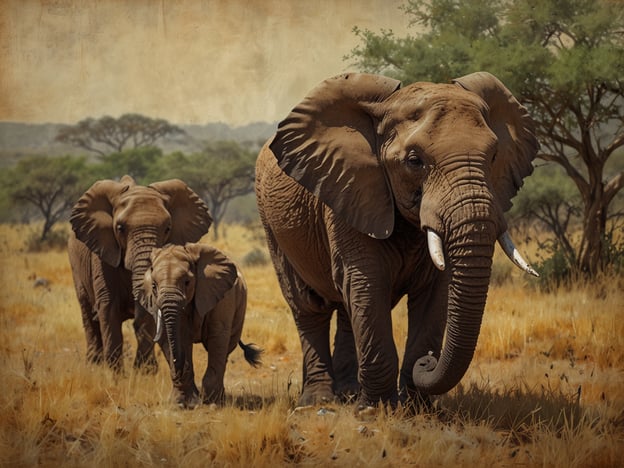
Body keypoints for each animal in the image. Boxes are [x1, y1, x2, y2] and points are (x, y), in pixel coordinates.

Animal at [66, 176, 212, 372]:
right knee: (88, 313)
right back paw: (93, 365)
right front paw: (115, 373)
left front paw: (145, 372)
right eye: (120, 228)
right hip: (76, 266)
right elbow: (108, 306)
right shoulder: (103, 254)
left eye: (168, 228)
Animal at [142, 241, 264, 406]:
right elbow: (181, 337)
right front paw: (182, 403)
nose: (177, 368)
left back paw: (219, 397)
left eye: (187, 282)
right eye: (154, 285)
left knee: (225, 349)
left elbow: (217, 335)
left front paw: (211, 402)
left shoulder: (222, 296)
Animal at [256, 70, 540, 410]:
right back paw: (318, 401)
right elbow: (368, 283)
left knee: (346, 309)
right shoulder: (352, 190)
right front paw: (377, 409)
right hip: (272, 225)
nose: (428, 362)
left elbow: (435, 294)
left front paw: (418, 409)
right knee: (308, 307)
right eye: (414, 161)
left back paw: (349, 393)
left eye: (494, 155)